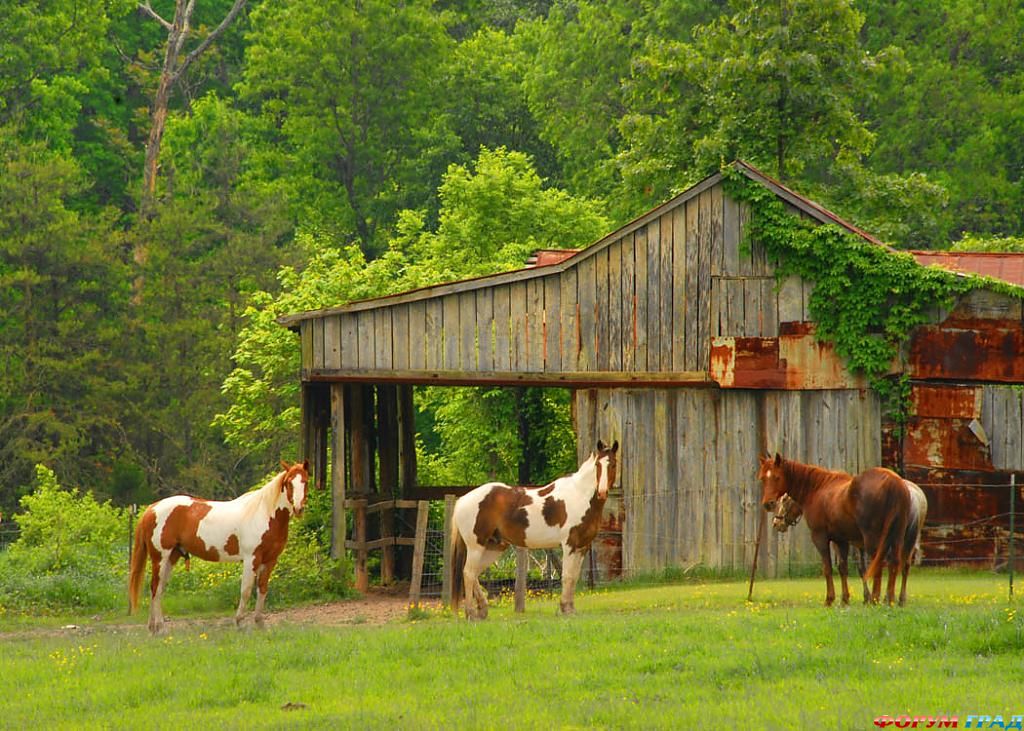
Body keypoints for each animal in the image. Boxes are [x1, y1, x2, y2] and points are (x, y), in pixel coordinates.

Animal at [126, 458, 307, 630]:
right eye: (289, 482)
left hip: (172, 556)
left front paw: (260, 624)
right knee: (156, 588)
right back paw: (160, 627)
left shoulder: (270, 560)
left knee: (158, 589)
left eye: (305, 481)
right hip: (160, 557)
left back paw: (153, 628)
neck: (264, 513)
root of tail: (152, 508)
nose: (298, 508)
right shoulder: (251, 559)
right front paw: (240, 623)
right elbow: (246, 590)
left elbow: (262, 589)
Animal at [452, 438, 618, 622]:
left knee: (474, 573)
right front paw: (565, 609)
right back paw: (471, 613)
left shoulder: (582, 547)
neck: (579, 495)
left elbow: (573, 577)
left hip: (493, 547)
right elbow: (567, 576)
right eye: (598, 465)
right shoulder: (569, 545)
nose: (602, 492)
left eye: (613, 464)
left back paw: (482, 610)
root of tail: (463, 499)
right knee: (468, 573)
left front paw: (570, 609)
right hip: (476, 546)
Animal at [761, 452, 913, 606]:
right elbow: (843, 568)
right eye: (762, 478)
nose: (768, 504)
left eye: (777, 477)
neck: (817, 488)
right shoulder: (841, 541)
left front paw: (829, 599)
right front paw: (845, 599)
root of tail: (893, 482)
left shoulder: (820, 538)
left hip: (873, 539)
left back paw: (876, 599)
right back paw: (890, 599)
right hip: (897, 538)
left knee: (879, 563)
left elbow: (827, 568)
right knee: (894, 562)